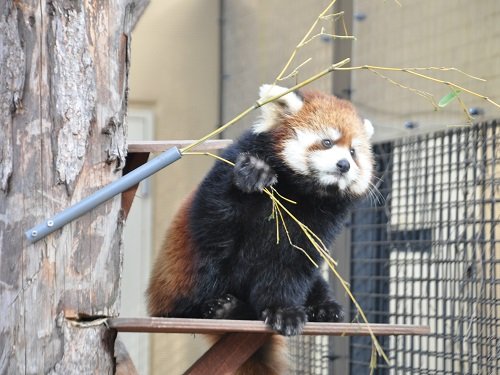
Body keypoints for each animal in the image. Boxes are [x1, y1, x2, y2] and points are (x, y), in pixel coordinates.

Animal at [146, 83, 374, 374]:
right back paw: (221, 309)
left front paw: (283, 311)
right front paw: (252, 173)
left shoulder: (317, 225)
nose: (343, 165)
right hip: (180, 274)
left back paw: (324, 308)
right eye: (327, 142)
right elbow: (216, 219)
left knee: (316, 282)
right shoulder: (225, 175)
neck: (301, 192)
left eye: (354, 152)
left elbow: (292, 265)